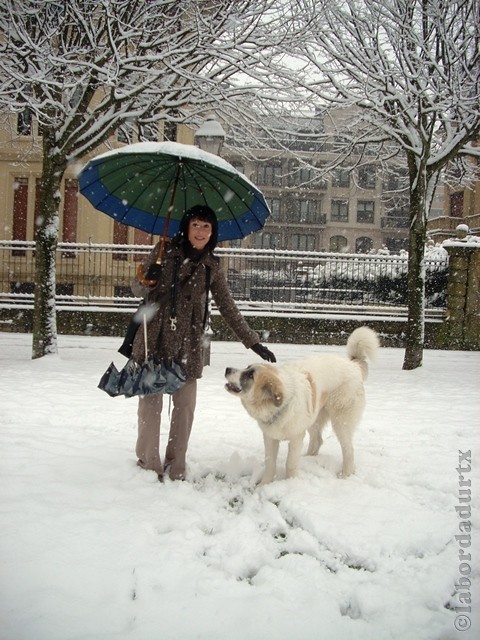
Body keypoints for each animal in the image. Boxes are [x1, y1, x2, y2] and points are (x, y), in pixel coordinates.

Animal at [225, 328, 378, 482]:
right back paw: (307, 459)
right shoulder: (270, 438)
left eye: (250, 375)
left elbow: (290, 463)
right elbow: (270, 463)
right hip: (314, 419)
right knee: (317, 441)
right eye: (247, 367)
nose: (227, 369)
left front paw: (289, 482)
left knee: (348, 449)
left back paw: (345, 474)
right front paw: (264, 484)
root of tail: (354, 365)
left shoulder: (296, 437)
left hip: (341, 423)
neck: (279, 406)